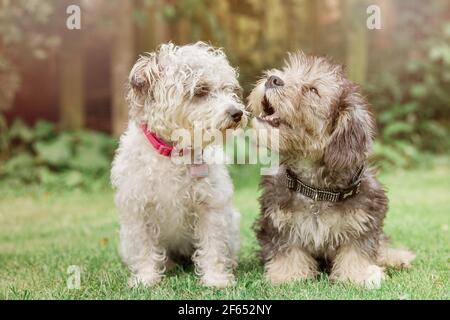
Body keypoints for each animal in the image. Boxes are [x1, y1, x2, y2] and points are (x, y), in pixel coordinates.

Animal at [111, 42, 248, 288]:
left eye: (227, 88)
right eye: (201, 90)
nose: (237, 113)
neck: (173, 154)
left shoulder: (210, 207)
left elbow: (213, 247)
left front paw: (216, 278)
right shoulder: (139, 210)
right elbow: (145, 249)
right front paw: (146, 278)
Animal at [250, 52, 414, 288]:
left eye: (313, 90)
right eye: (287, 72)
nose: (272, 79)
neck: (316, 190)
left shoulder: (363, 222)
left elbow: (358, 251)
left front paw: (360, 275)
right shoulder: (278, 223)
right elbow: (288, 250)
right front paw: (287, 275)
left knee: (382, 245)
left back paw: (397, 258)